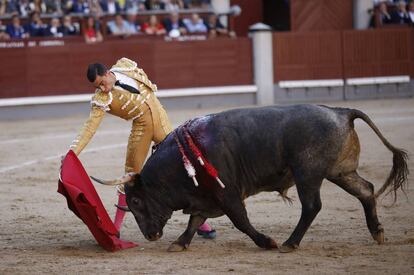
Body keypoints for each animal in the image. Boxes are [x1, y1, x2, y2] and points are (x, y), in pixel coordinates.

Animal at [93, 104, 408, 253]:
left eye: (136, 200)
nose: (151, 235)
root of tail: (341, 111)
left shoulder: (228, 195)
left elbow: (241, 222)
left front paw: (266, 241)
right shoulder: (205, 198)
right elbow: (194, 221)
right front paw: (179, 243)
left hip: (307, 174)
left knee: (312, 206)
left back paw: (289, 243)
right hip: (340, 172)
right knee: (366, 190)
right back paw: (377, 232)